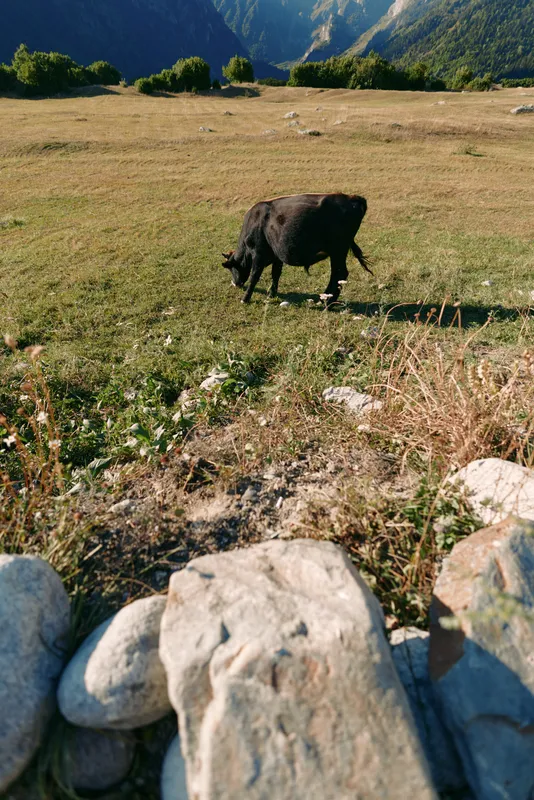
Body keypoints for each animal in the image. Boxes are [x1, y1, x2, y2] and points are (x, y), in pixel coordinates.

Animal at [221, 192, 372, 306]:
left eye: (231, 267)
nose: (235, 283)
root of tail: (352, 198)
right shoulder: (277, 255)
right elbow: (275, 274)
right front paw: (271, 294)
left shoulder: (258, 254)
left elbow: (254, 276)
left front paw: (245, 298)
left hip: (338, 251)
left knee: (339, 274)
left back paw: (326, 302)